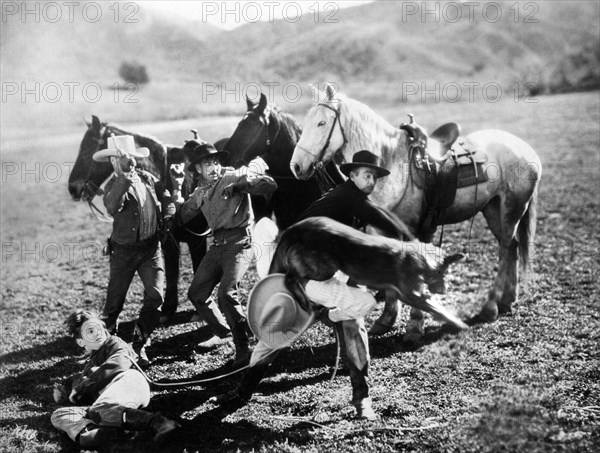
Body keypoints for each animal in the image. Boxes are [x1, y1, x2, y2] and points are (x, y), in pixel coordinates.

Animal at [67, 115, 209, 316]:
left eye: (87, 149)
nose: (72, 188)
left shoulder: (197, 239)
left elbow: (197, 267)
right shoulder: (169, 240)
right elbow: (172, 272)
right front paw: (168, 308)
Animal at [292, 86, 544, 338]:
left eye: (322, 123)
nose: (296, 166)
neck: (391, 164)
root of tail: (524, 148)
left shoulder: (413, 229)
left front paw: (414, 324)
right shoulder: (381, 229)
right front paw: (386, 319)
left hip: (512, 208)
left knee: (505, 249)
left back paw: (491, 307)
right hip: (492, 209)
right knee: (512, 247)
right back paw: (508, 300)